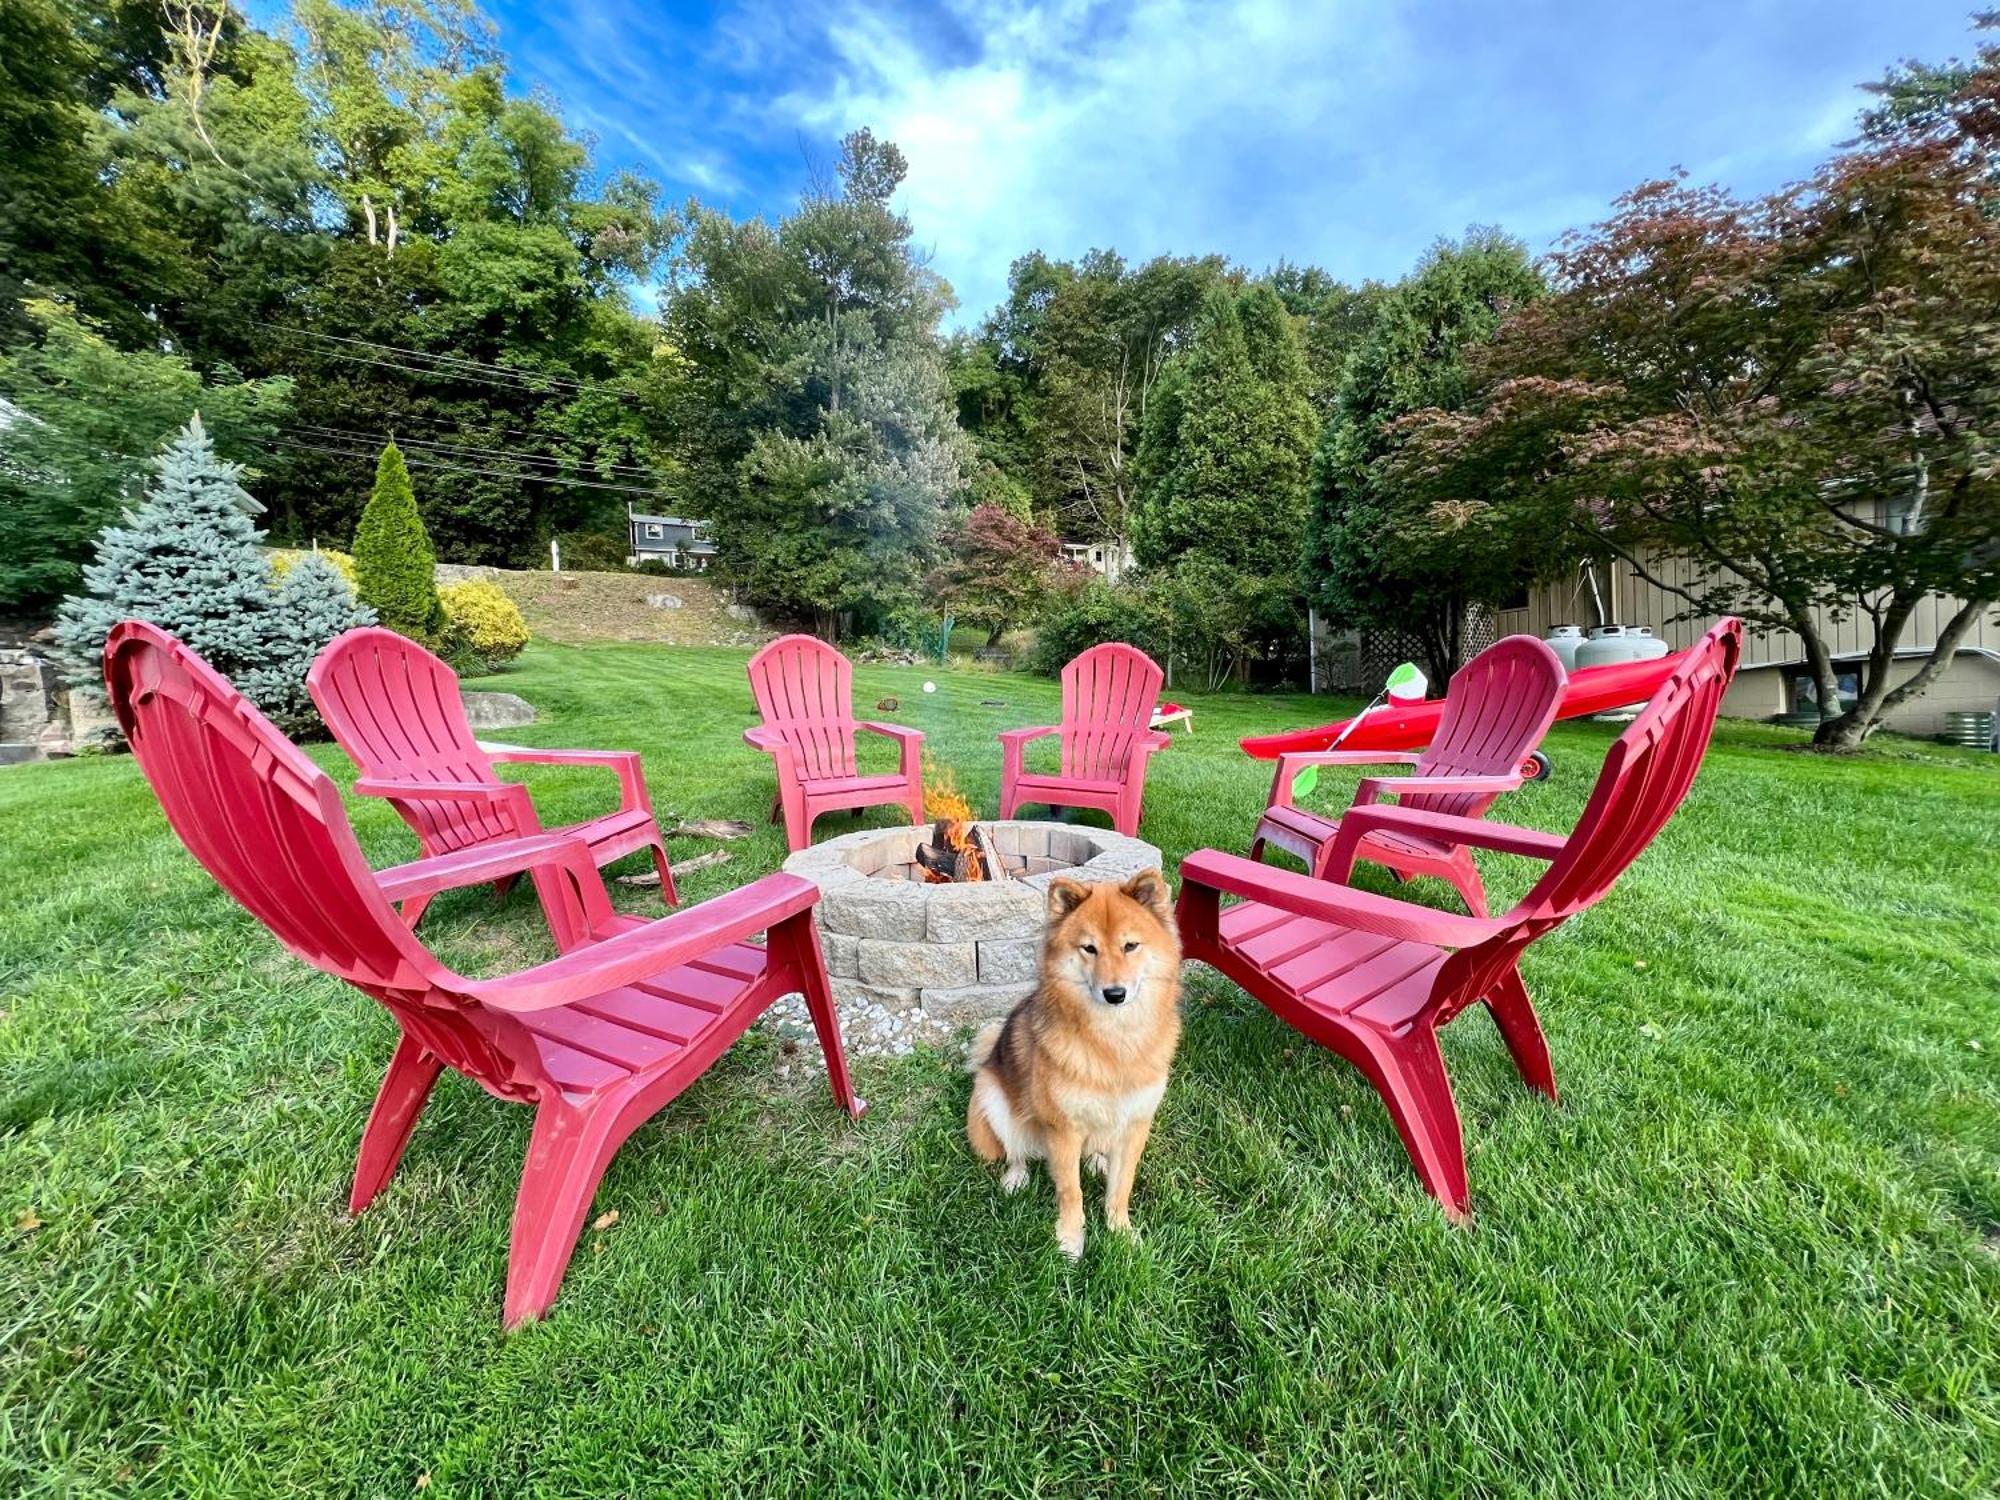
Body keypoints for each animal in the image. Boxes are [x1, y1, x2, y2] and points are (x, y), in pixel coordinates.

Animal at [964, 868, 1176, 1256]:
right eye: (1089, 948)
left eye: (1130, 946)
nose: (1115, 994)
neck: (1113, 1042)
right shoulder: (1063, 1130)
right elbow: (1070, 1191)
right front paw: (1070, 1239)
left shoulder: (1135, 1124)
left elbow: (1121, 1187)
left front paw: (1120, 1232)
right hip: (992, 1098)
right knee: (1016, 1151)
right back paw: (1015, 1178)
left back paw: (1096, 1162)